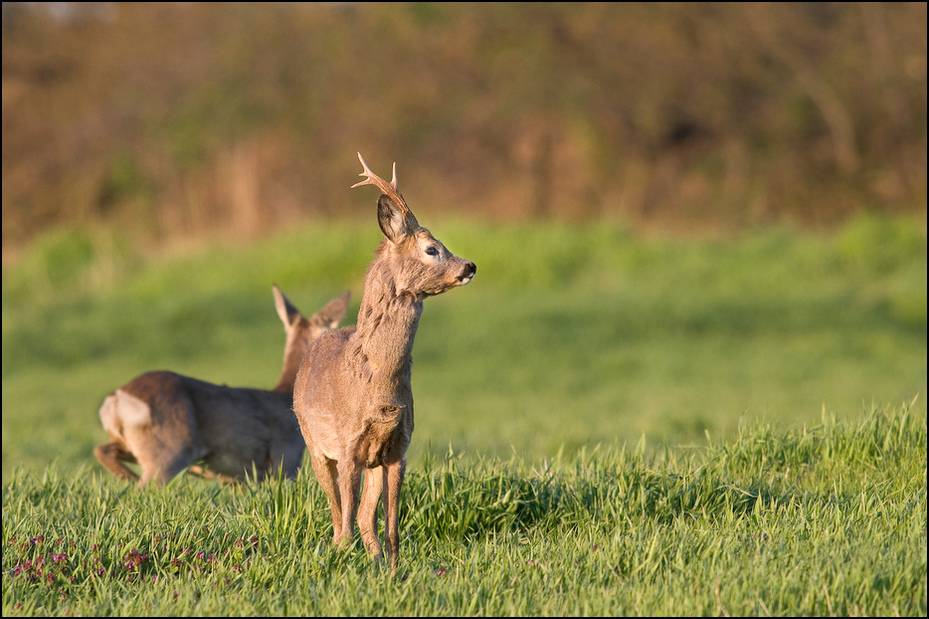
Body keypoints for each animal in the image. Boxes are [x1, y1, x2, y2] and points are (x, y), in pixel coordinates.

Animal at [94, 288, 350, 486]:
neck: (286, 395)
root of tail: (117, 398)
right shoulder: (286, 458)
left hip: (132, 444)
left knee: (102, 450)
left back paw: (128, 477)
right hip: (168, 452)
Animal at [294, 153, 474, 568]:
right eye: (432, 249)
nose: (470, 266)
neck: (380, 382)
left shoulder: (398, 448)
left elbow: (391, 527)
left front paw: (393, 570)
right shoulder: (346, 445)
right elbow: (344, 522)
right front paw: (342, 565)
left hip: (372, 461)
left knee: (365, 519)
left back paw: (375, 560)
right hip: (313, 443)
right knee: (339, 516)